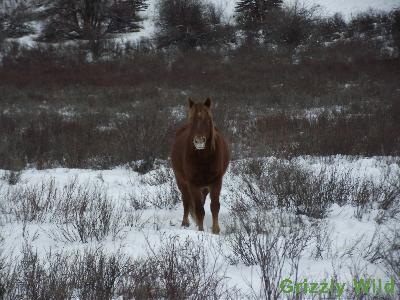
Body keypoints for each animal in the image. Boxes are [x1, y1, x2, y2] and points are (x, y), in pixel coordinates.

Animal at [171, 98, 228, 234]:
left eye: (207, 119)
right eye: (191, 119)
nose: (199, 141)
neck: (204, 158)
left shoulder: (216, 182)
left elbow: (214, 206)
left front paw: (215, 230)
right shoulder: (193, 184)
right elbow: (198, 208)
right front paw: (201, 230)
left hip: (205, 186)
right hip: (181, 181)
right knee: (186, 201)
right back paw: (185, 223)